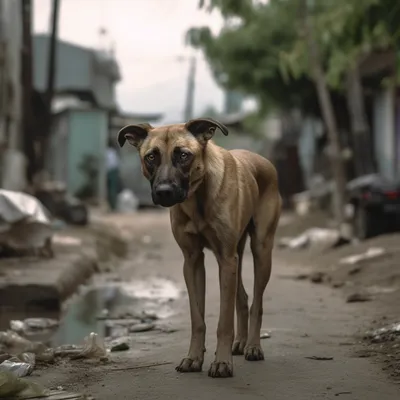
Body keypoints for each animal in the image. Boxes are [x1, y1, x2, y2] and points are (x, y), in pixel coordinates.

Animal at [118, 119, 282, 378]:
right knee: (243, 297)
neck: (197, 199)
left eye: (184, 155)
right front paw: (194, 358)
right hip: (236, 255)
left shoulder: (226, 258)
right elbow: (197, 319)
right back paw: (241, 342)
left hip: (261, 249)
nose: (164, 191)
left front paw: (222, 363)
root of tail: (263, 160)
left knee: (257, 302)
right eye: (151, 157)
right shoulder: (194, 260)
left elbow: (224, 322)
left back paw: (253, 346)